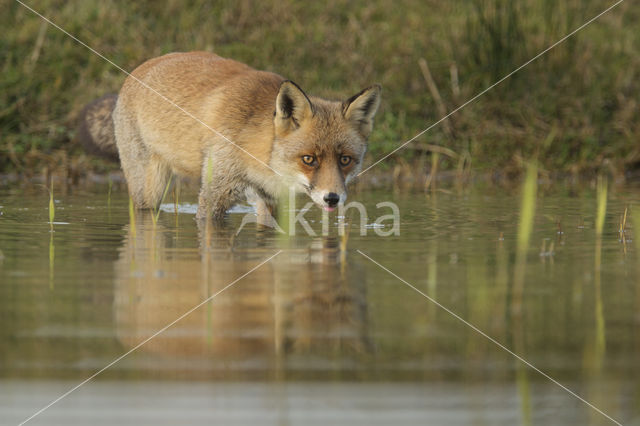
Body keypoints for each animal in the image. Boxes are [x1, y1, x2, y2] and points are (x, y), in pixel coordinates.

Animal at [79, 51, 380, 221]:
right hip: (148, 192)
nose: (333, 199)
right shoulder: (214, 195)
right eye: (309, 159)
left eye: (345, 160)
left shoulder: (270, 201)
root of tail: (137, 70)